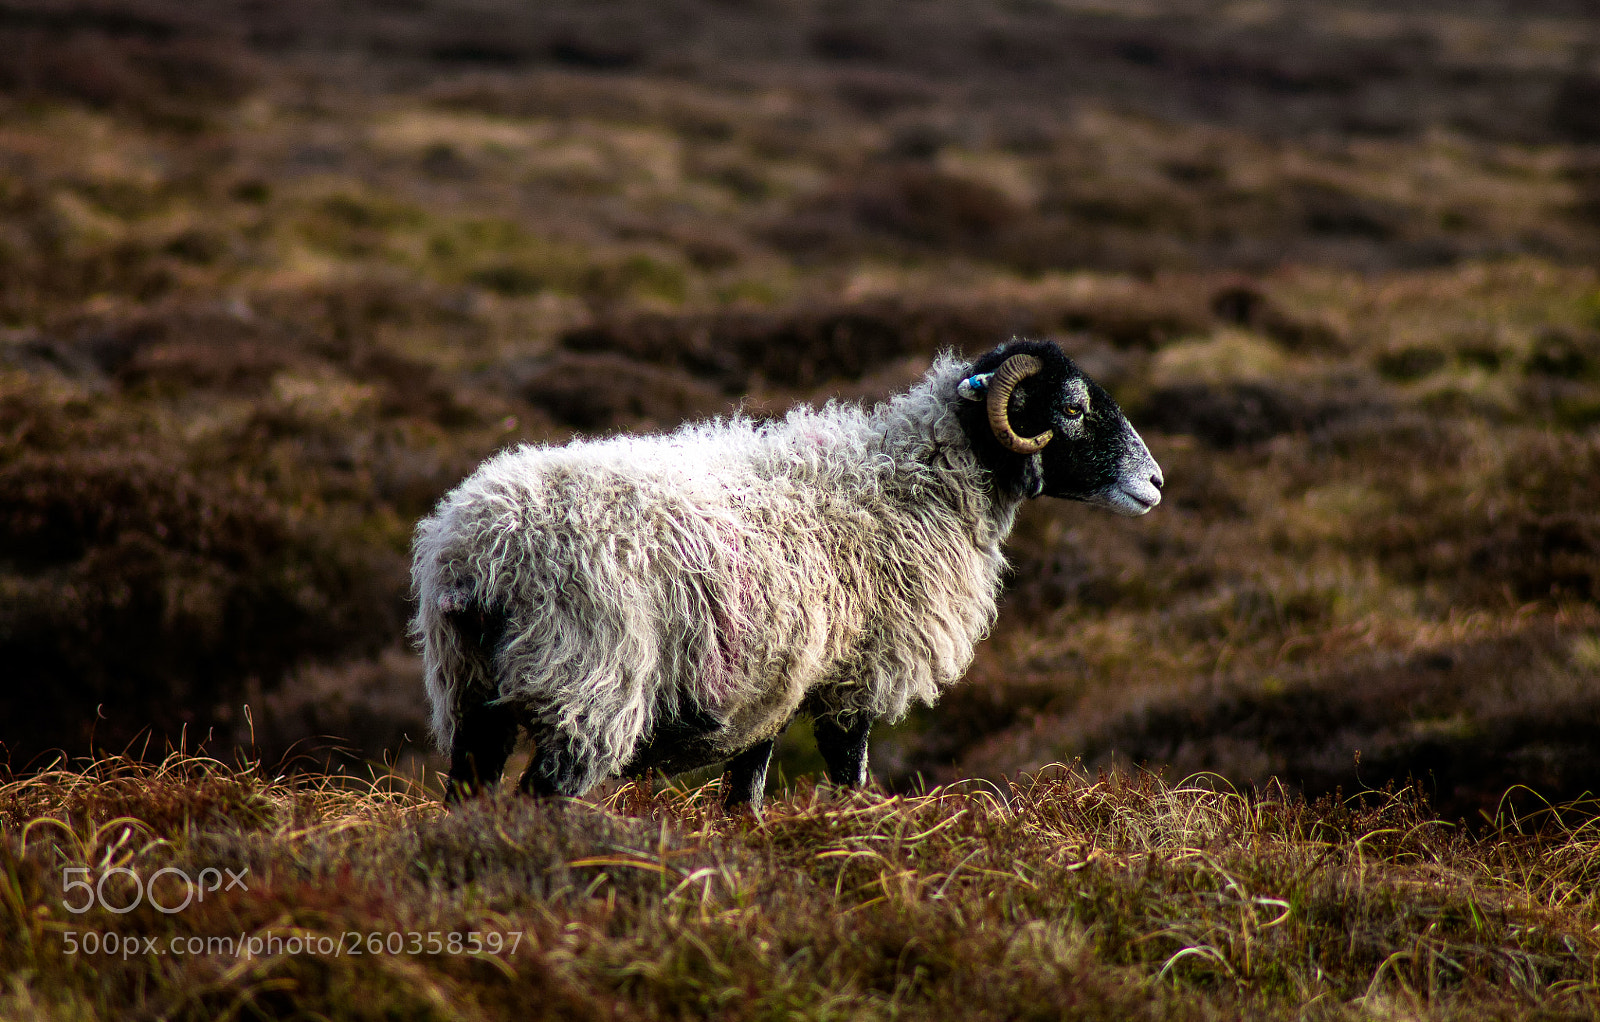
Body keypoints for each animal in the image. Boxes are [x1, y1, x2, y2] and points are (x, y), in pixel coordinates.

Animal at [411, 338, 1163, 811]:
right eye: (1072, 407)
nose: (1156, 482)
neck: (916, 481)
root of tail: (483, 550)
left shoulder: (772, 683)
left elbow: (746, 795)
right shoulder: (856, 674)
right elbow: (849, 774)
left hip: (471, 691)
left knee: (468, 797)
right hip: (587, 684)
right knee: (538, 799)